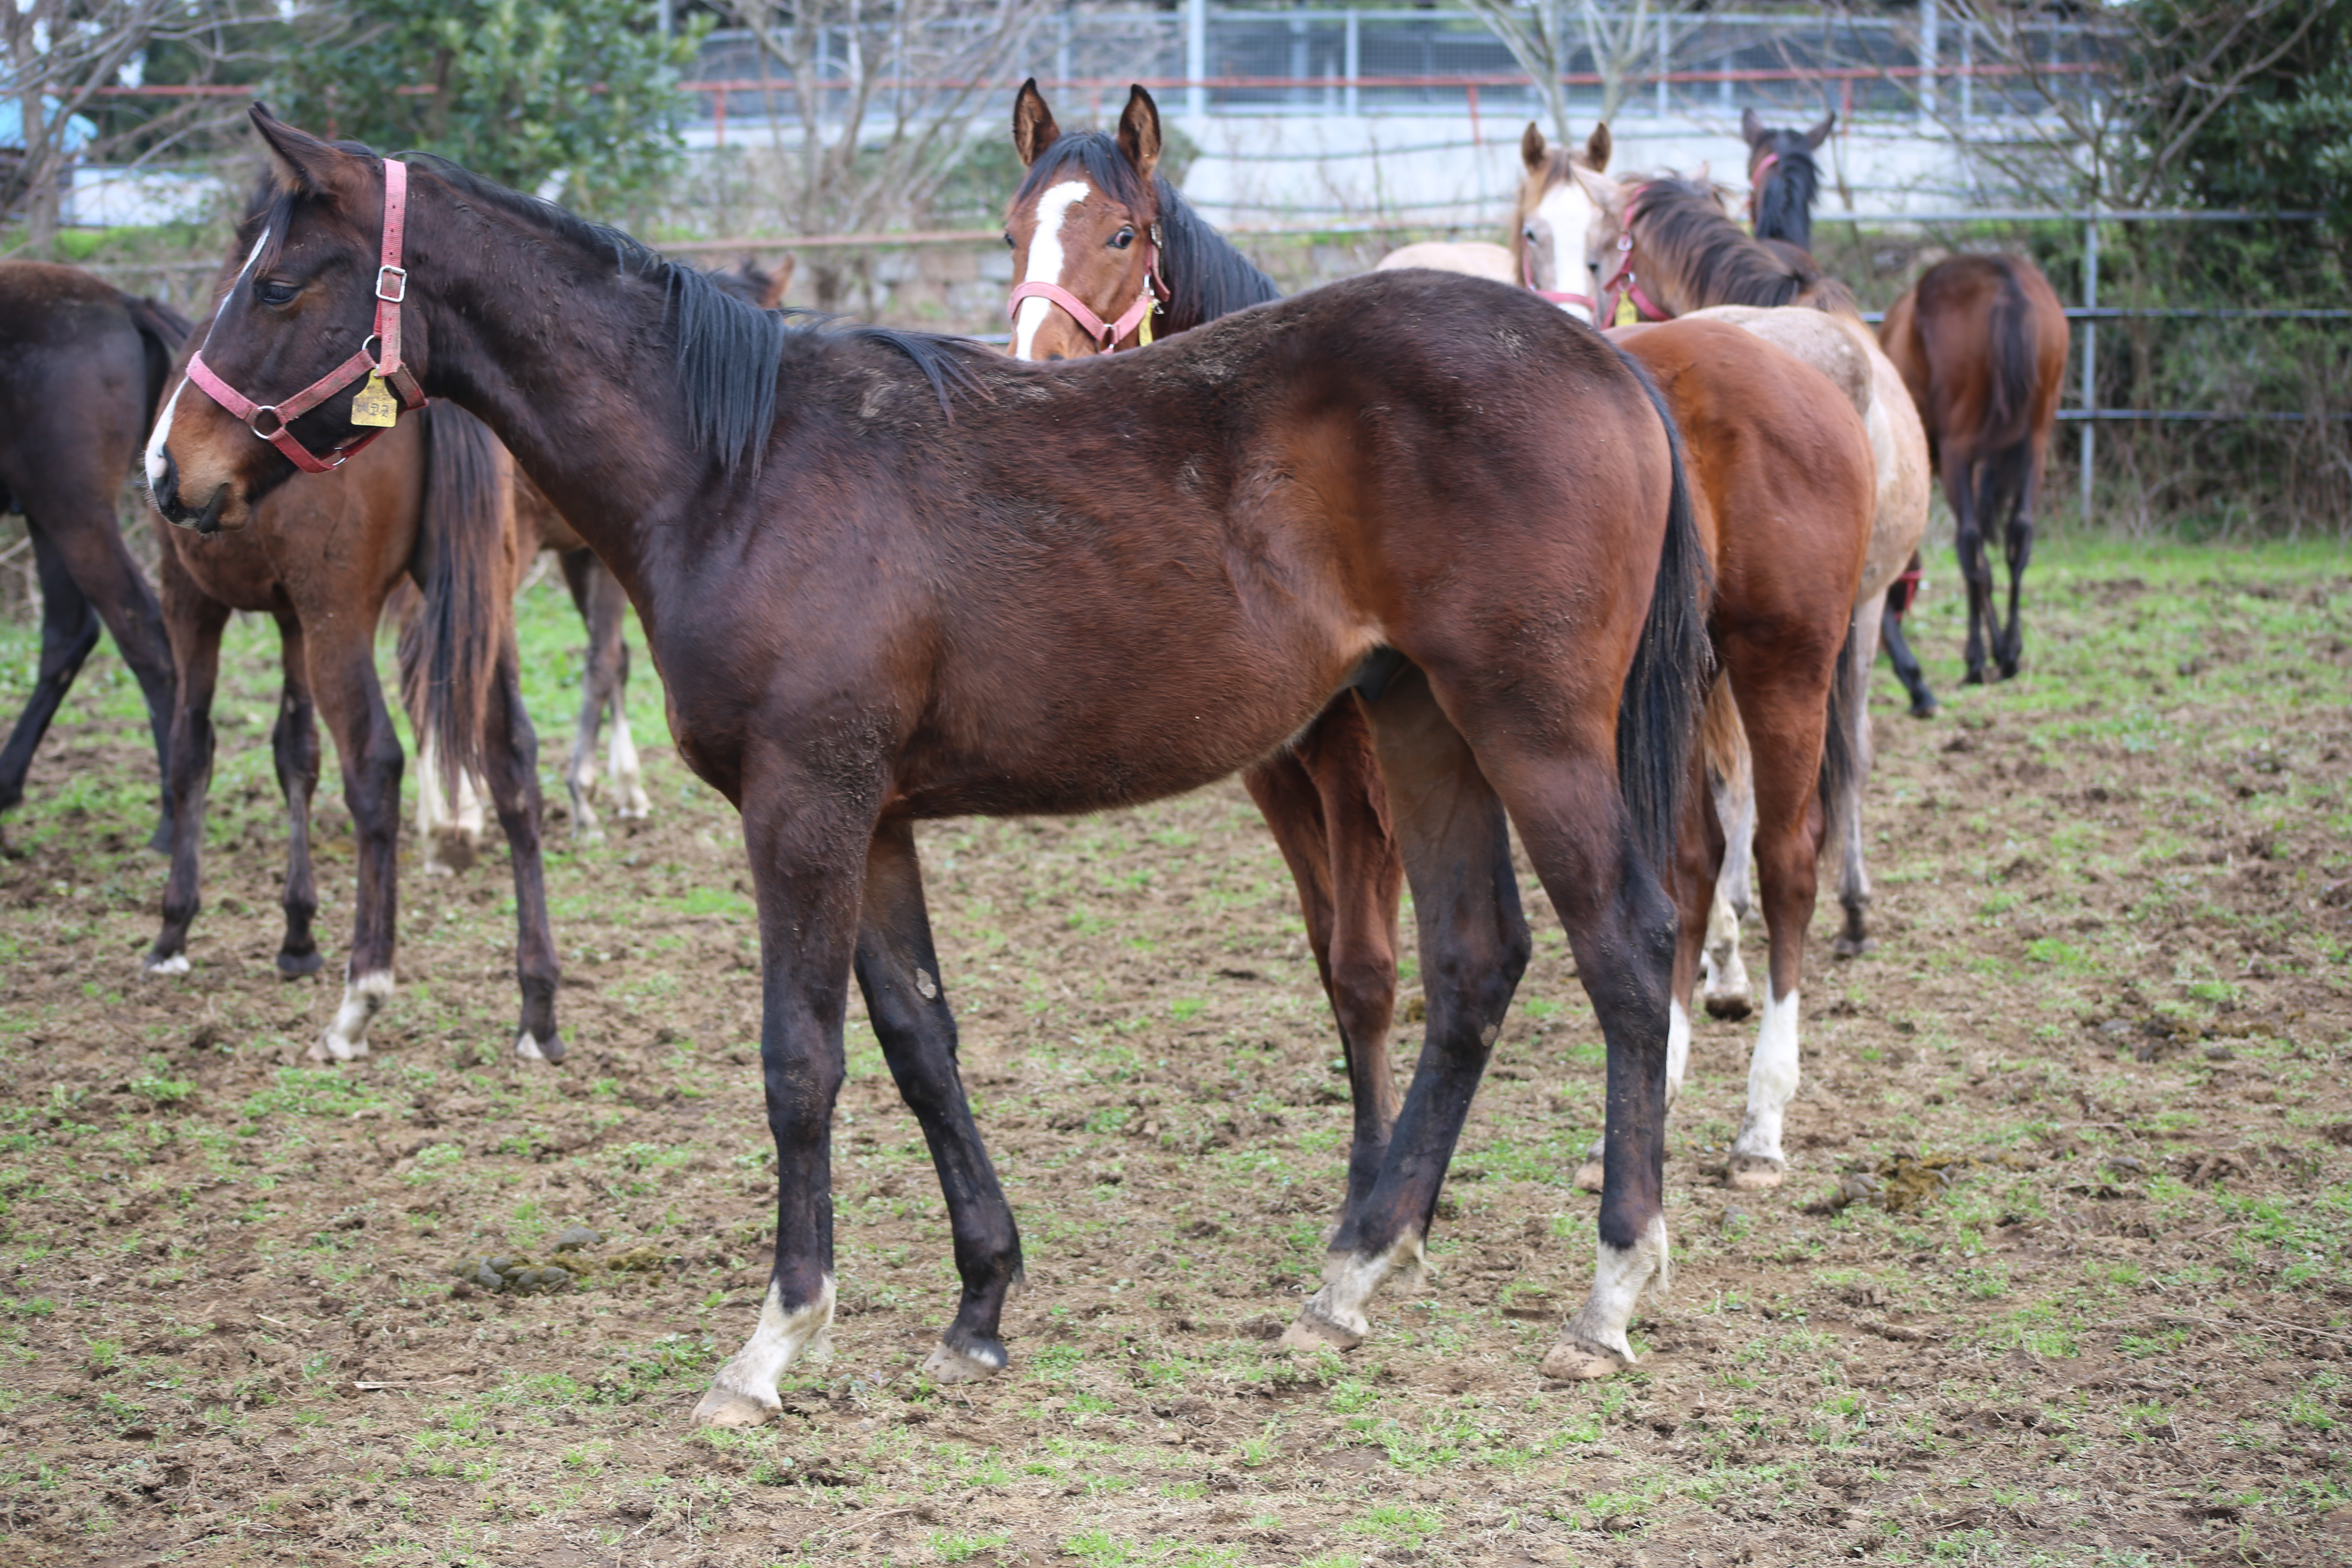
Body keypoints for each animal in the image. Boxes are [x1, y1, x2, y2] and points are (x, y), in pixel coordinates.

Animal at [0, 263, 188, 846]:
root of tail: (122, 302)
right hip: (47, 516)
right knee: (68, 635)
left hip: (73, 513)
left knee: (142, 633)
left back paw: (172, 822)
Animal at [141, 184, 559, 1067]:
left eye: (274, 288)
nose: (164, 470)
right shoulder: (292, 619)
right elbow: (293, 754)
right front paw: (297, 933)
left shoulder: (193, 600)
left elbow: (193, 750)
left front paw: (174, 928)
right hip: (485, 609)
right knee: (513, 762)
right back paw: (538, 1006)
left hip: (337, 619)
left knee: (374, 766)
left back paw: (361, 995)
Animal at [1872, 256, 2060, 682]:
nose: (1880, 648)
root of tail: (2004, 278)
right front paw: (2002, 649)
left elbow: (1978, 561)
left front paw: (1984, 651)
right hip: (2036, 443)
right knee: (2020, 535)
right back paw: (2011, 650)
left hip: (1959, 452)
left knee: (1970, 543)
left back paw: (1975, 657)